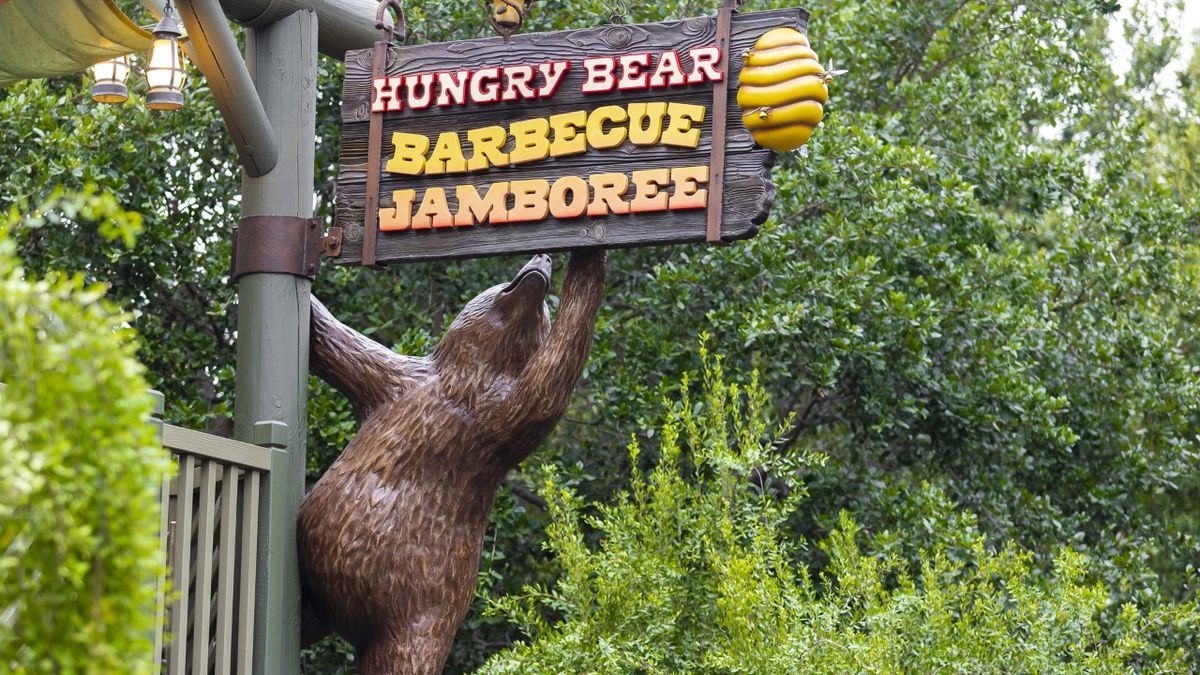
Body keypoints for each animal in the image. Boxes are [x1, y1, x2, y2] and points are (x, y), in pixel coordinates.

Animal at [296, 249, 604, 667]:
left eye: (544, 311)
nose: (542, 258)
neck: (465, 382)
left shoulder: (502, 417)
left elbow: (553, 375)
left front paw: (591, 252)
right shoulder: (394, 377)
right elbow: (334, 343)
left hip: (418, 617)